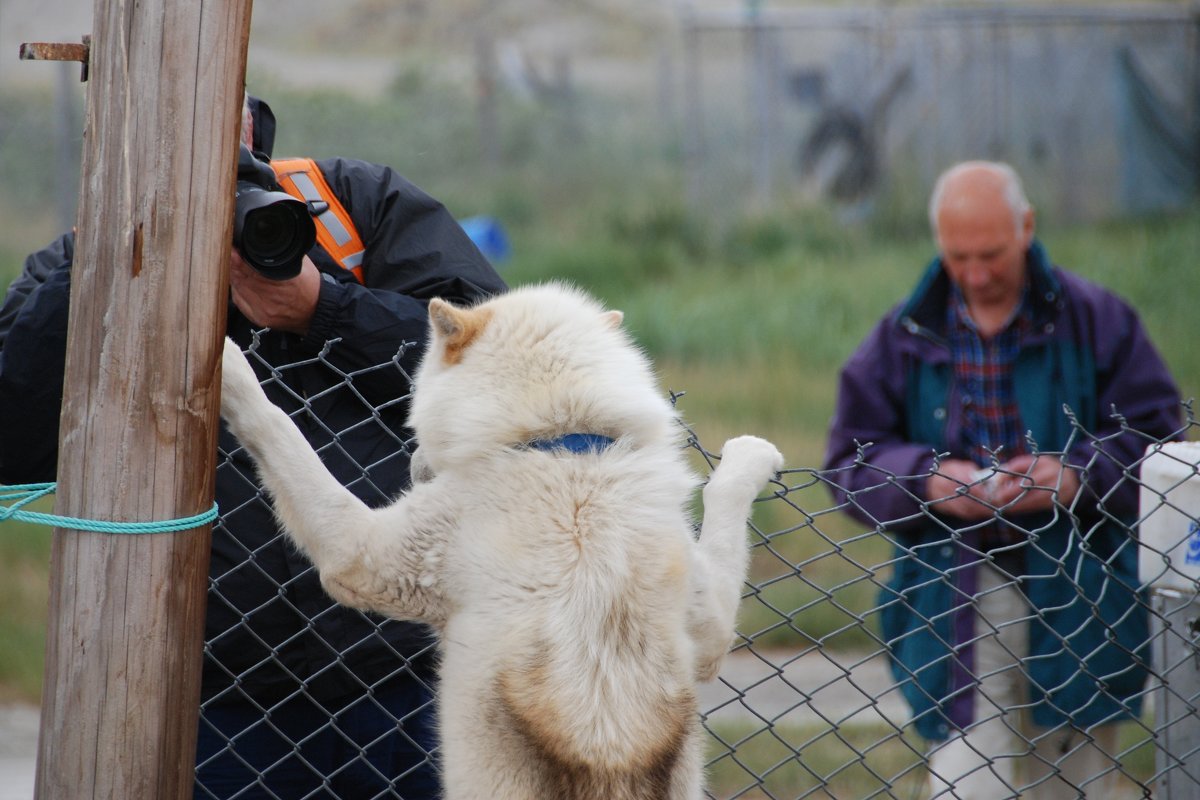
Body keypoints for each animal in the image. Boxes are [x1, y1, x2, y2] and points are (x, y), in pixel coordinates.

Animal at [220, 284, 787, 796]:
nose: (415, 463)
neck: (564, 449)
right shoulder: (707, 629)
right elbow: (724, 506)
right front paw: (752, 457)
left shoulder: (357, 555)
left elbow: (278, 429)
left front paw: (230, 368)